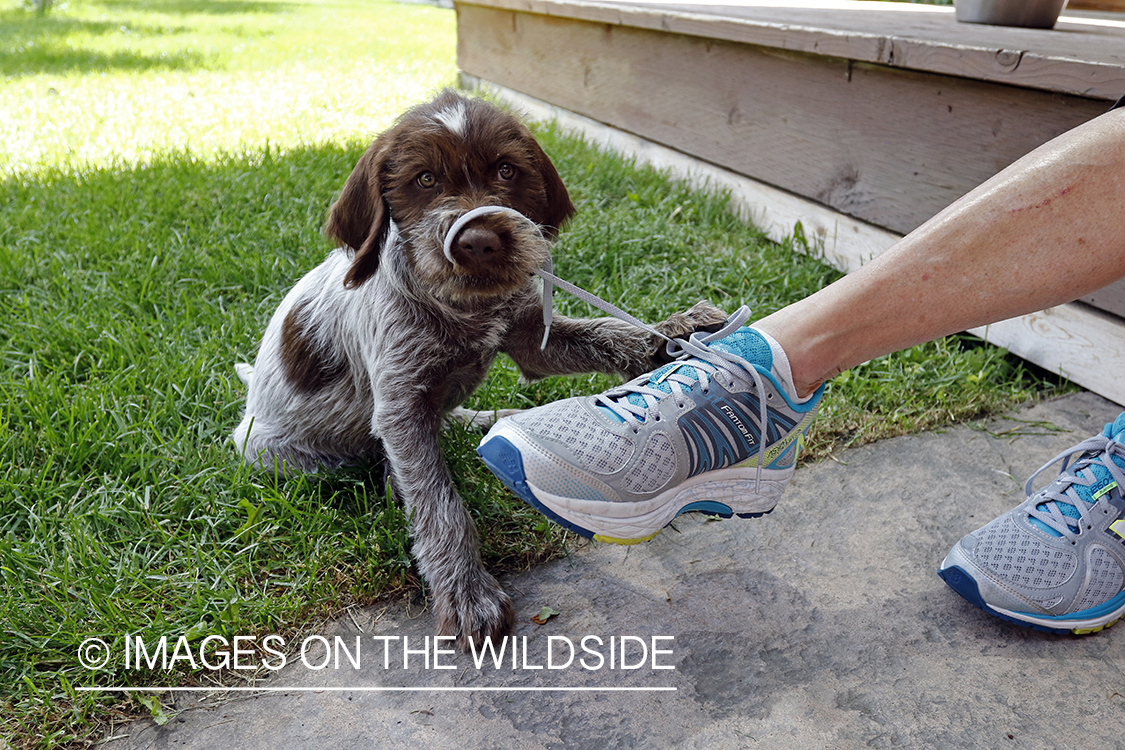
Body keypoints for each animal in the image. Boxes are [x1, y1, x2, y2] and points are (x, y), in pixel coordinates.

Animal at [232, 91, 729, 647]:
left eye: (506, 170)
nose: (479, 242)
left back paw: (488, 420)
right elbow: (439, 503)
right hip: (287, 458)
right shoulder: (402, 409)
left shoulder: (532, 338)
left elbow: (609, 333)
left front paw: (673, 337)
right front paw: (466, 592)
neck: (463, 307)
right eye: (425, 179)